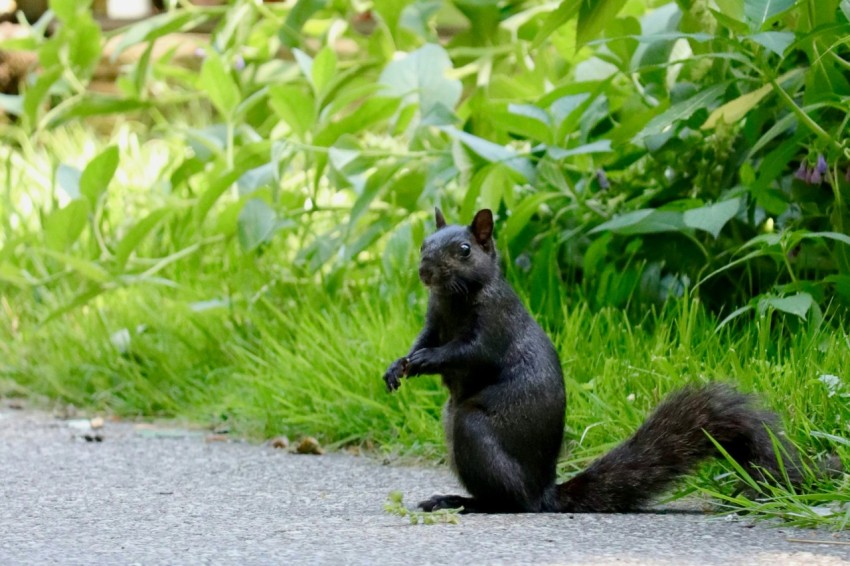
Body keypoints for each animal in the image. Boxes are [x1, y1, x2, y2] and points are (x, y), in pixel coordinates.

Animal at [382, 207, 811, 514]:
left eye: (464, 250)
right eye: (424, 243)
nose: (425, 271)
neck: (454, 299)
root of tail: (544, 493)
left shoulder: (495, 324)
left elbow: (468, 352)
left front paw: (425, 360)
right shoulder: (434, 320)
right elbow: (423, 339)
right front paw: (398, 365)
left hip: (472, 431)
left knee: (510, 503)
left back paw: (467, 504)